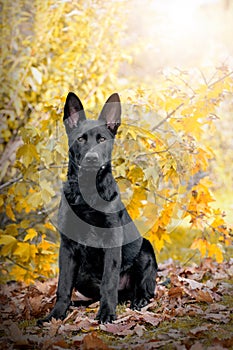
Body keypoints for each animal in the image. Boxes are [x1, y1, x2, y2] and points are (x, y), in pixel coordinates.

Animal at [38, 92, 157, 322]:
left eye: (102, 139)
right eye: (81, 139)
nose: (91, 158)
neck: (88, 193)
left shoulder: (112, 242)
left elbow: (108, 283)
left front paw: (106, 314)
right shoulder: (67, 248)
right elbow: (63, 286)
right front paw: (56, 315)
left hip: (146, 252)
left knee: (145, 291)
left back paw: (138, 301)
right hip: (82, 275)